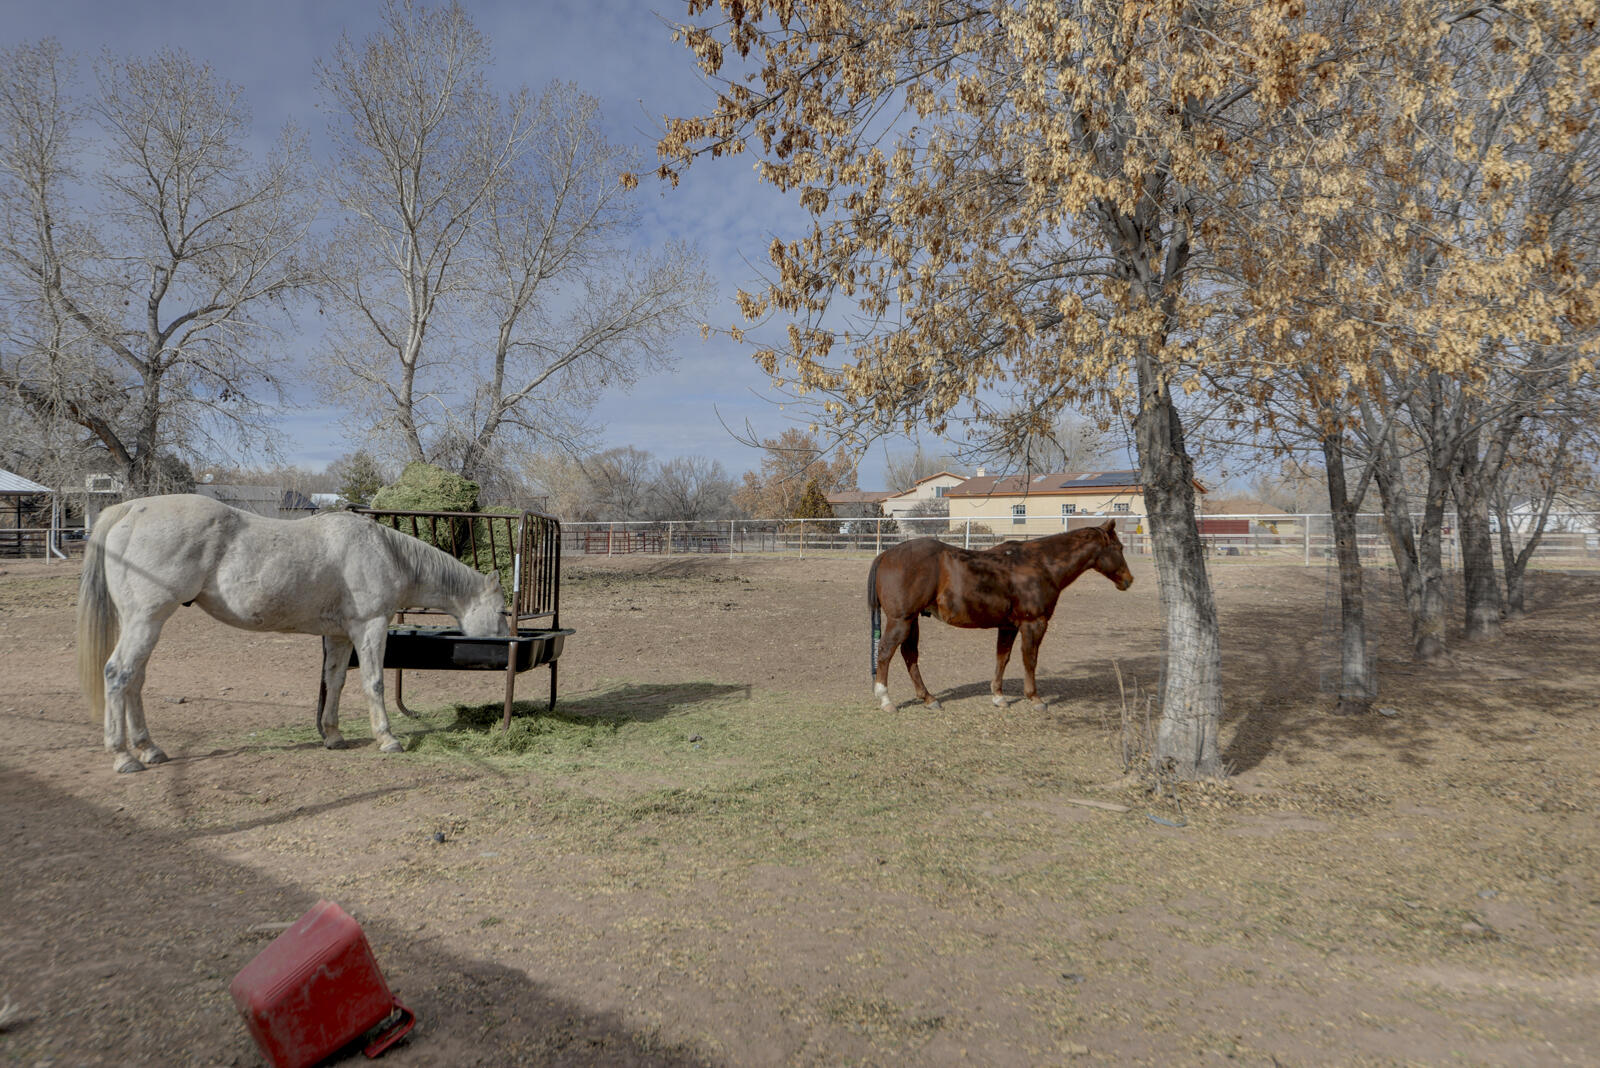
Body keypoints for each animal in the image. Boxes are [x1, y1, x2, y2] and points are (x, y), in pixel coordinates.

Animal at [76, 495, 505, 770]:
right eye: (502, 610)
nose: (502, 649)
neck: (385, 552)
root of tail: (131, 509)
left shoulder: (340, 636)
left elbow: (334, 683)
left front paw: (332, 736)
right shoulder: (370, 627)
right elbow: (374, 683)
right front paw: (387, 738)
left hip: (145, 623)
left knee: (134, 680)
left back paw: (148, 749)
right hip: (146, 620)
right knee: (118, 675)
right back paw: (124, 756)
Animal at [870, 521, 1132, 713]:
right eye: (1119, 548)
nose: (1128, 580)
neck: (1041, 564)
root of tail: (886, 555)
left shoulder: (1008, 626)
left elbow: (1002, 658)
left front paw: (998, 696)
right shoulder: (1034, 624)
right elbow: (1030, 660)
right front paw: (1035, 698)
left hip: (911, 621)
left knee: (909, 656)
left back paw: (928, 698)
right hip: (901, 621)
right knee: (885, 653)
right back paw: (885, 700)